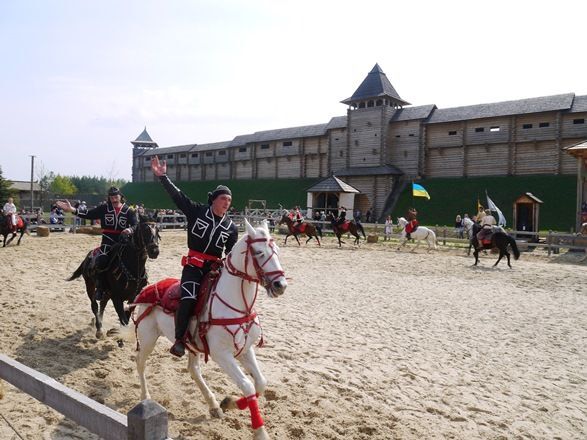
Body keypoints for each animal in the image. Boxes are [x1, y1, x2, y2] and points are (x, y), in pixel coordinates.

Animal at [134, 218, 290, 438]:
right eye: (259, 252)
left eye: (276, 250)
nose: (280, 285)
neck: (235, 304)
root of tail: (148, 288)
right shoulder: (221, 354)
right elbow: (248, 386)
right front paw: (259, 431)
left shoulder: (245, 350)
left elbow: (260, 383)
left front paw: (229, 402)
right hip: (148, 337)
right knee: (140, 362)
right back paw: (145, 396)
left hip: (190, 345)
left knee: (194, 370)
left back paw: (214, 405)